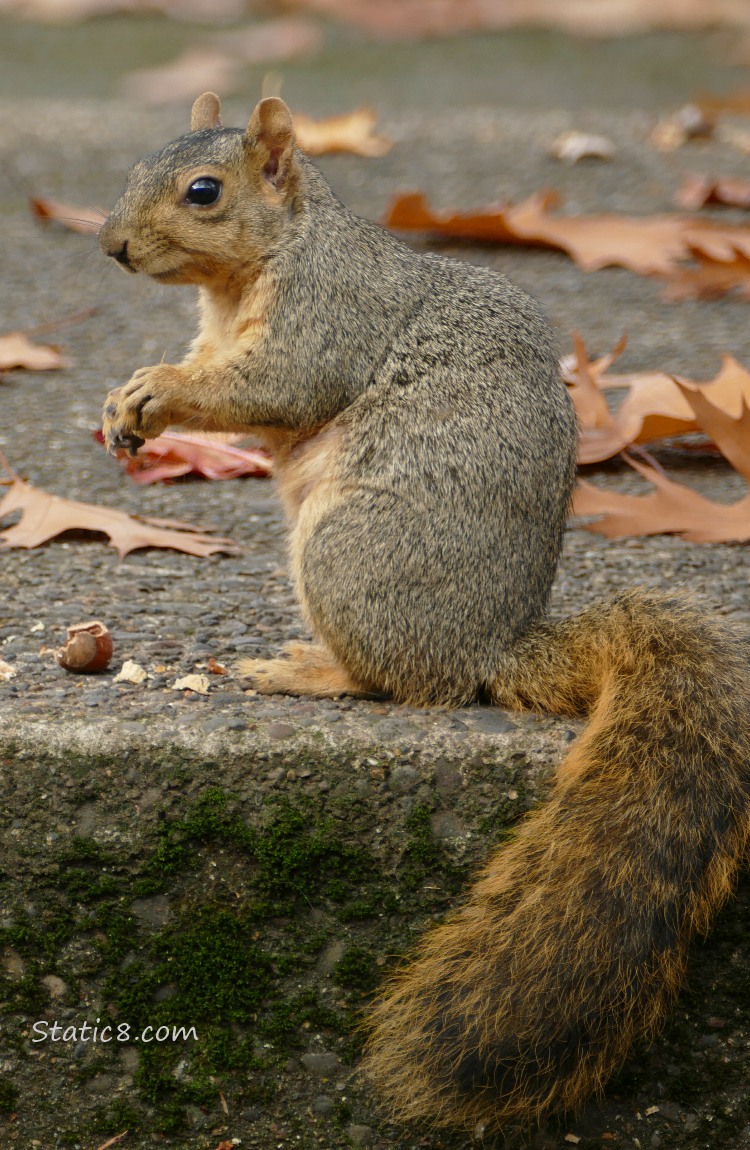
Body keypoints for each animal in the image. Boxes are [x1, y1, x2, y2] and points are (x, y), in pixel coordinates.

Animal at [98, 94, 750, 1136]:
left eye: (204, 192)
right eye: (137, 165)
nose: (114, 245)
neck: (260, 265)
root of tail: (496, 645)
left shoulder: (326, 317)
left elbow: (267, 386)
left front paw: (162, 392)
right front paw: (126, 397)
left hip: (350, 555)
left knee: (409, 682)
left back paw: (310, 670)